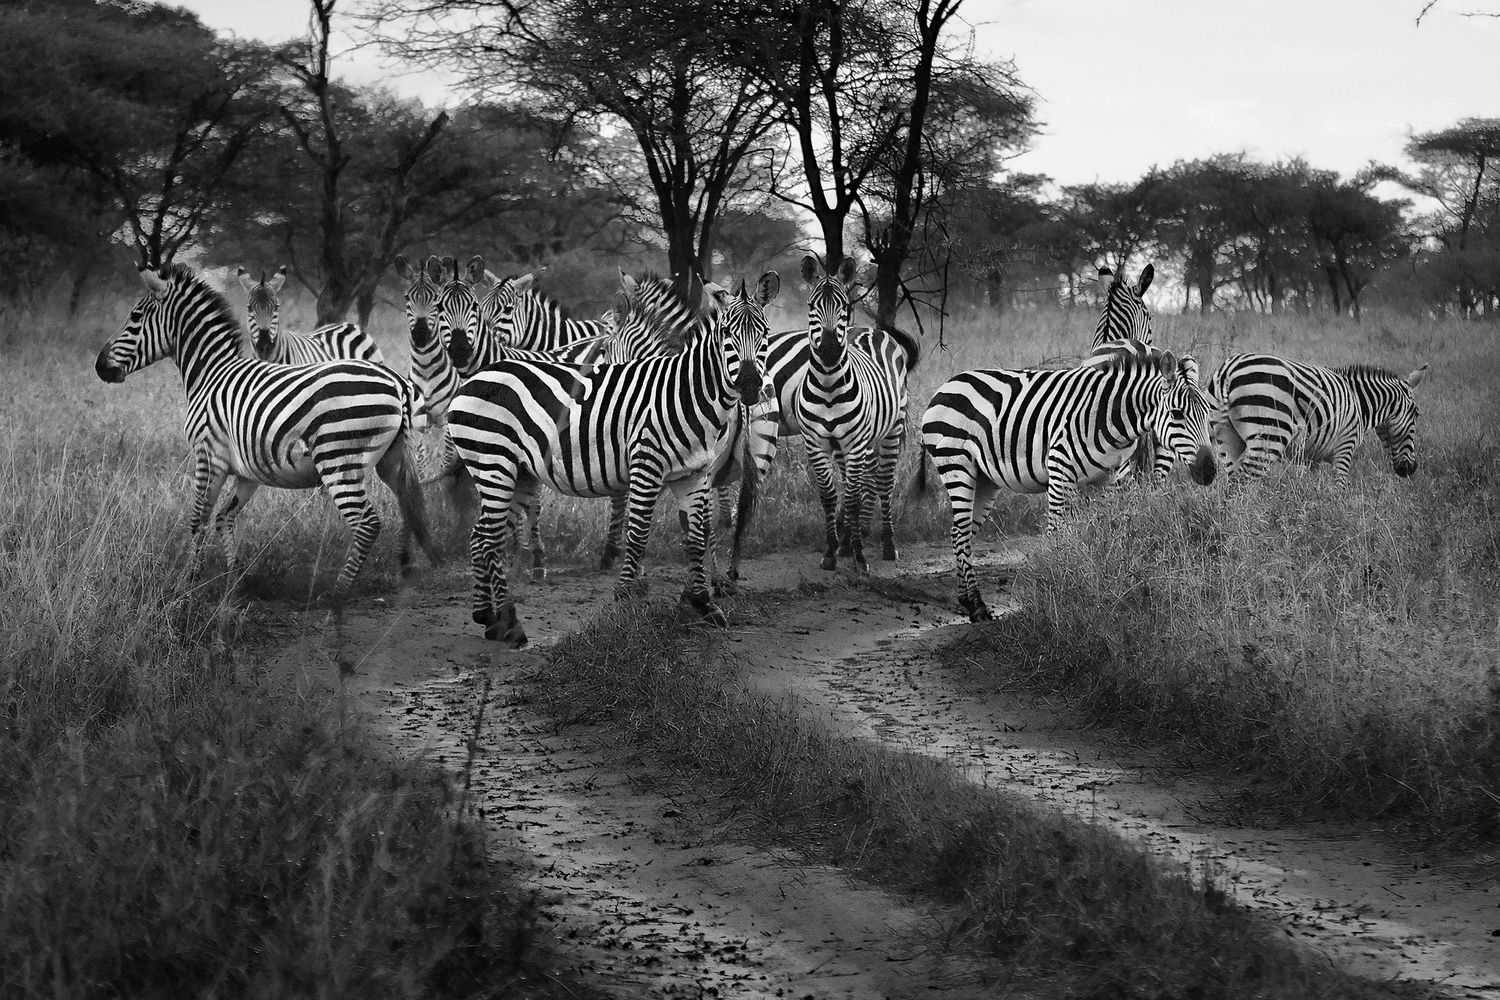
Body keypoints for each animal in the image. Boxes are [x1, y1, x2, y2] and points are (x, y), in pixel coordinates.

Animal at [445, 270, 766, 647]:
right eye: (727, 334)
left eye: (764, 334)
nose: (750, 384)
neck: (683, 392)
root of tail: (476, 377)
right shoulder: (646, 464)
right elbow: (639, 531)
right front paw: (628, 593)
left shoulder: (695, 473)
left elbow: (698, 533)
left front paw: (703, 602)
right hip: (493, 464)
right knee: (486, 538)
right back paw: (507, 624)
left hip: (513, 471)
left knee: (484, 537)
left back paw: (489, 617)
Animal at [794, 253, 918, 572]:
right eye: (811, 306)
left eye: (844, 306)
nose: (827, 350)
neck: (828, 386)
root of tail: (869, 330)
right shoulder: (816, 444)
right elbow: (830, 496)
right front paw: (831, 551)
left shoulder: (853, 444)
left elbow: (851, 498)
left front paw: (860, 557)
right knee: (865, 481)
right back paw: (848, 542)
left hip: (890, 430)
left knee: (883, 481)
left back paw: (887, 545)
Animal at [921, 340, 1217, 621]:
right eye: (1177, 413)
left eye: (1207, 412)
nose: (1209, 471)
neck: (1109, 415)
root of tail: (949, 383)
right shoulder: (1059, 470)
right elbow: (1057, 533)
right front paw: (1055, 590)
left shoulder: (1106, 479)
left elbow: (1104, 531)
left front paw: (1103, 588)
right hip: (957, 467)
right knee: (961, 532)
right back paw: (977, 606)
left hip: (984, 480)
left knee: (960, 532)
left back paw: (967, 599)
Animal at [1206, 353, 1427, 485]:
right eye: (1416, 414)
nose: (1411, 469)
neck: (1359, 402)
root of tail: (1228, 370)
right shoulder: (1345, 448)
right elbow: (1340, 488)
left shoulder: (1313, 458)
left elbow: (1313, 488)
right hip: (1269, 437)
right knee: (1245, 483)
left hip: (1227, 438)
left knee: (1233, 482)